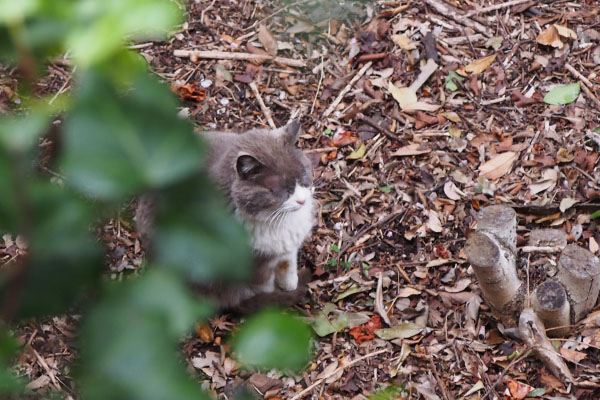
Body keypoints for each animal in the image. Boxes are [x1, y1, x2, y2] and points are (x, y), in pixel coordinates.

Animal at [135, 120, 314, 308]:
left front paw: (290, 285)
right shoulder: (254, 266)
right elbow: (265, 285)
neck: (276, 221)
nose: (302, 201)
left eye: (302, 178)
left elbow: (288, 264)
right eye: (281, 190)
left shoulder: (287, 247)